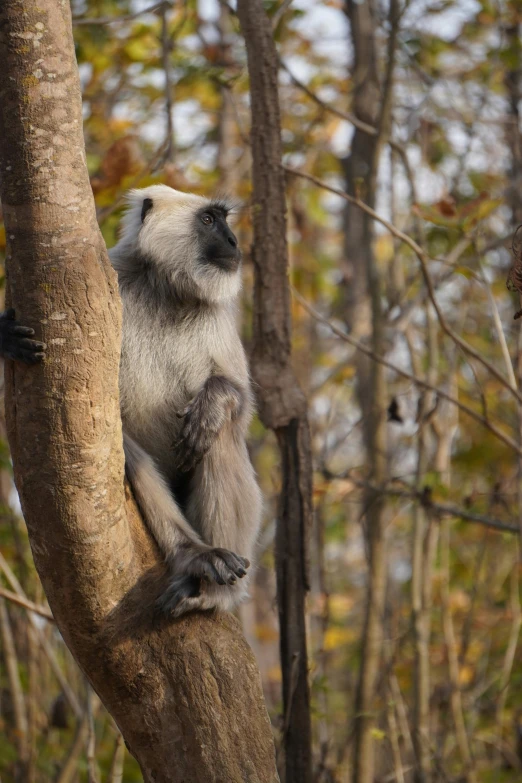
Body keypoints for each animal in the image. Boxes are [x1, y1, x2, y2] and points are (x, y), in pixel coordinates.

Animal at [0, 185, 260, 620]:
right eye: (209, 220)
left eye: (223, 220)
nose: (232, 241)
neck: (166, 291)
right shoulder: (114, 279)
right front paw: (6, 338)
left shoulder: (217, 314)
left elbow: (238, 401)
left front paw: (213, 402)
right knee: (121, 445)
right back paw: (193, 554)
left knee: (217, 435)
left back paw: (213, 592)